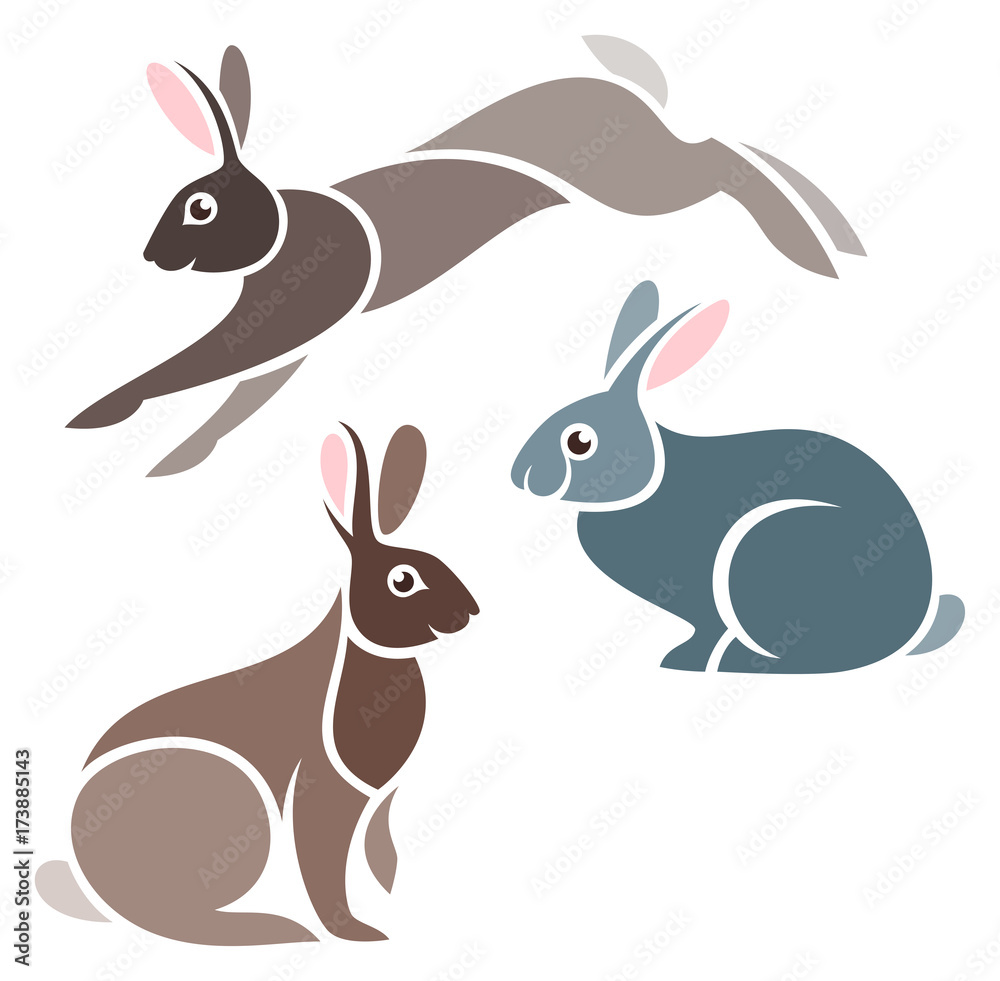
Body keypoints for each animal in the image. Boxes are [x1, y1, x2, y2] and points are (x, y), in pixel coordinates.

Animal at [36, 424, 479, 945]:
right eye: (403, 580)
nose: (469, 611)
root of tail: (85, 876)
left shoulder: (376, 804)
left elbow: (371, 852)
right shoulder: (324, 790)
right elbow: (322, 865)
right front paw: (353, 932)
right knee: (172, 915)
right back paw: (279, 929)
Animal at [66, 40, 864, 475]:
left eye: (198, 207)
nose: (151, 256)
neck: (280, 229)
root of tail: (631, 92)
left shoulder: (280, 322)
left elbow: (189, 367)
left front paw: (97, 415)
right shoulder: (288, 348)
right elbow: (230, 404)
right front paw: (174, 460)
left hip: (644, 187)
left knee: (723, 159)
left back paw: (816, 245)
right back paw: (841, 236)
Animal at [510, 281, 964, 674]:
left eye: (580, 441)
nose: (520, 477)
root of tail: (911, 631)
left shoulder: (702, 598)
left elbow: (705, 630)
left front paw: (683, 661)